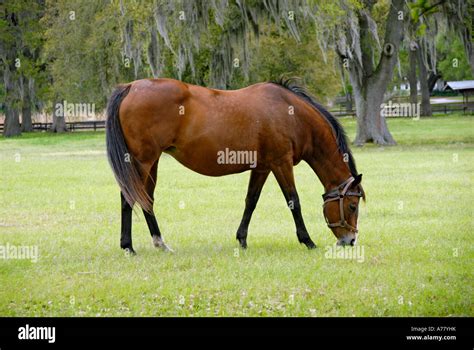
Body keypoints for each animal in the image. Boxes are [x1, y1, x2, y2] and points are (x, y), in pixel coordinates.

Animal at [106, 78, 362, 254]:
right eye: (352, 206)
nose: (350, 241)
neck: (291, 114)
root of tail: (131, 86)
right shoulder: (281, 163)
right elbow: (293, 201)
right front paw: (307, 241)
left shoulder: (262, 167)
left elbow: (251, 201)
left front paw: (242, 239)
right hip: (142, 161)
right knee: (129, 198)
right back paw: (128, 247)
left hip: (153, 162)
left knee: (146, 199)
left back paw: (160, 243)